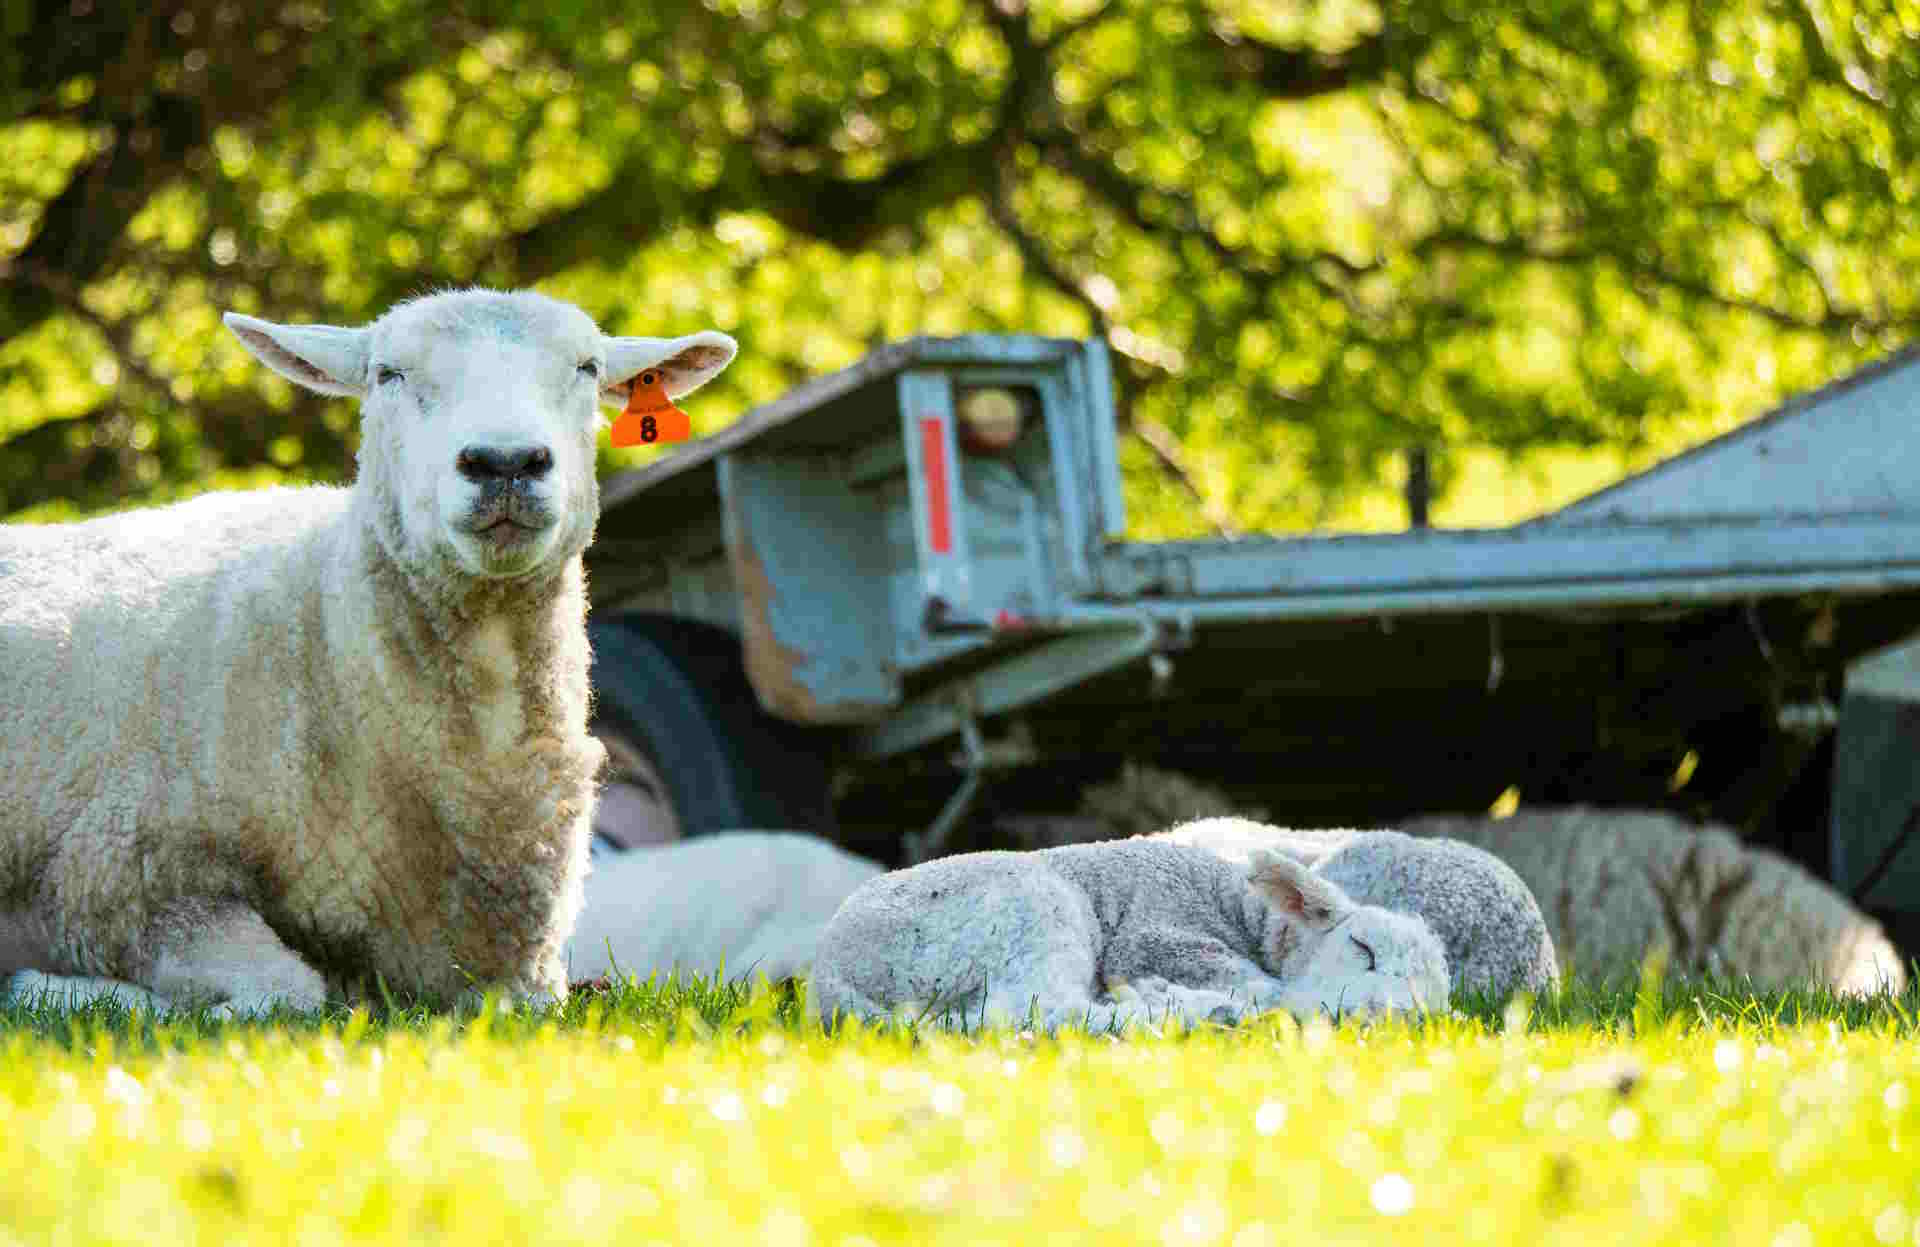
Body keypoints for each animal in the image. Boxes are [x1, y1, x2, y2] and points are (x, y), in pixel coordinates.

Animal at [1, 286, 733, 1014]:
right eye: (389, 375)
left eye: (587, 367)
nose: (505, 462)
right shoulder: (121, 876)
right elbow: (286, 990)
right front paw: (54, 988)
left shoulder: (519, 977)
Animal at [802, 837, 1443, 1029]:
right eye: (1362, 949)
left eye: (1428, 1007)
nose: (1386, 1016)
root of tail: (829, 982)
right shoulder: (1157, 932)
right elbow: (1271, 989)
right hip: (1026, 908)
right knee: (1031, 1010)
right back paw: (1185, 1010)